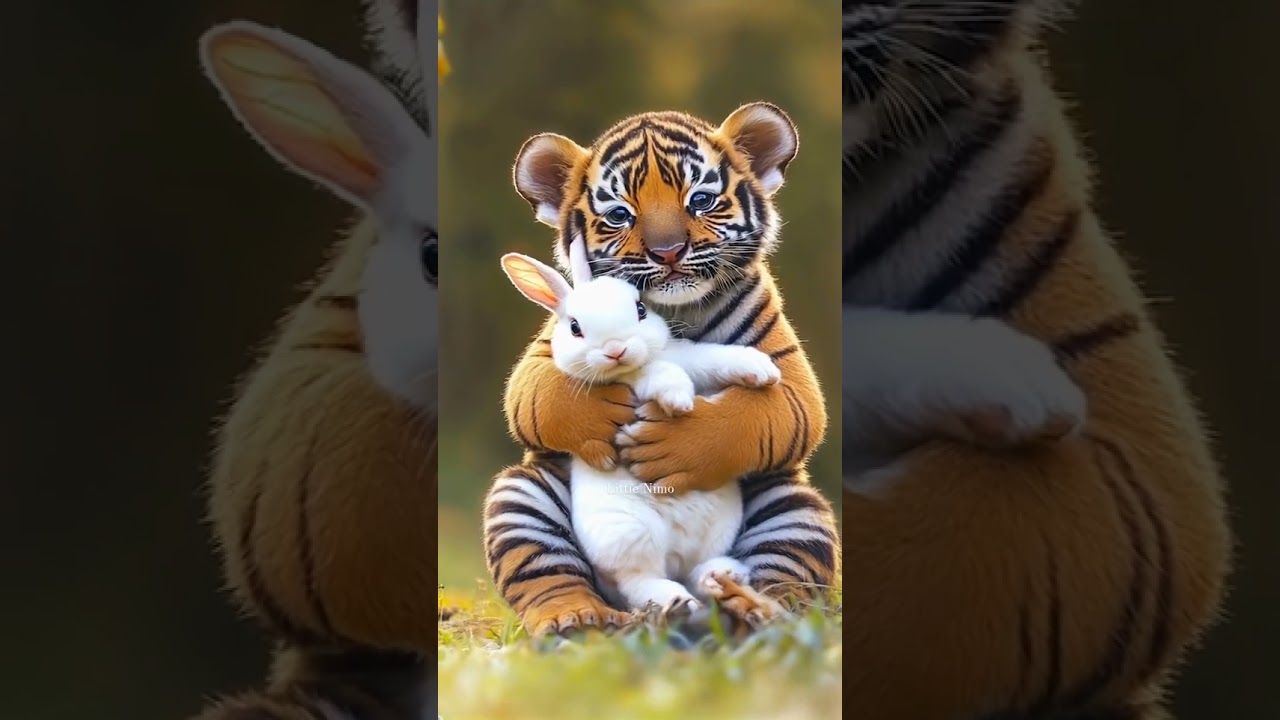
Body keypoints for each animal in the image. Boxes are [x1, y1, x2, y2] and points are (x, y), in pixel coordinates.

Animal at [500, 237, 781, 616]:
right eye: (575, 327)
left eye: (640, 310)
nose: (616, 349)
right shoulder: (638, 379)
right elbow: (658, 374)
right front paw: (678, 399)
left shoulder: (691, 358)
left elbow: (712, 358)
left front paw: (763, 371)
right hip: (630, 534)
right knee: (640, 582)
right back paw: (678, 600)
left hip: (719, 529)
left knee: (697, 570)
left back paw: (723, 575)